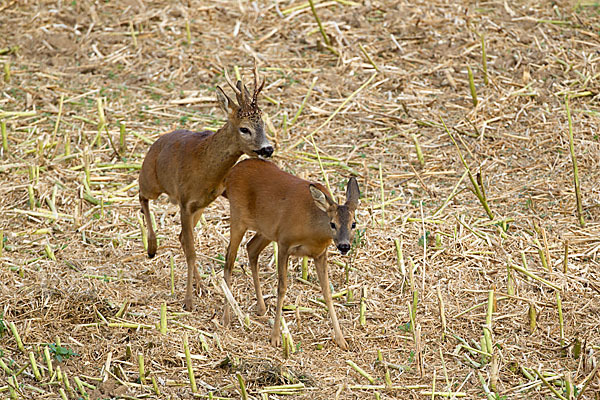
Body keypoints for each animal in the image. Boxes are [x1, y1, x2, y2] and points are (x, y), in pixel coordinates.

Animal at [138, 62, 272, 310]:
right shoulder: (184, 201)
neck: (204, 166)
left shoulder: (206, 199)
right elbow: (191, 251)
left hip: (198, 207)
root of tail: (155, 144)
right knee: (141, 195)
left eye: (263, 124)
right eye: (244, 129)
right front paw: (188, 302)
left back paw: (200, 284)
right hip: (152, 181)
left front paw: (197, 291)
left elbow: (190, 244)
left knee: (181, 236)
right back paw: (151, 247)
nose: (267, 149)